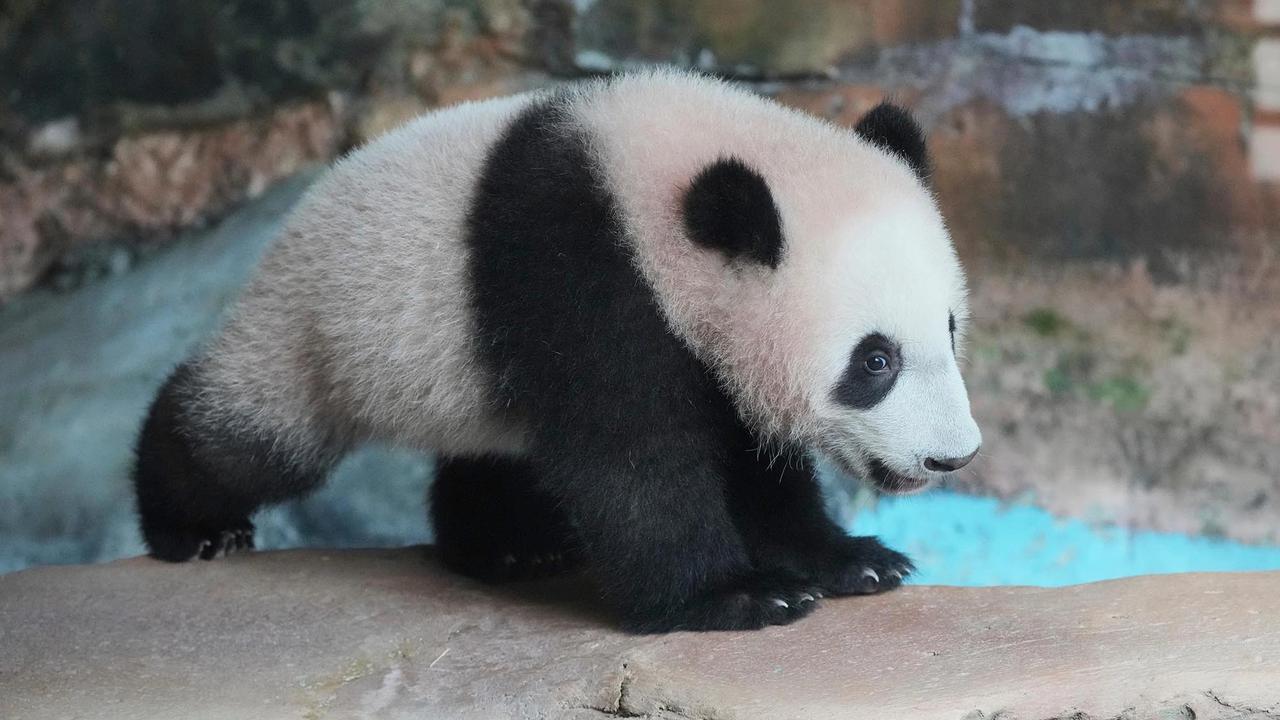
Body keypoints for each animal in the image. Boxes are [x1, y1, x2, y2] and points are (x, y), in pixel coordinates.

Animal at [133, 69, 982, 633]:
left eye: (948, 328)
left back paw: (509, 548)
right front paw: (733, 594)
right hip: (320, 332)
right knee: (255, 437)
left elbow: (750, 459)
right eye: (875, 361)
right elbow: (632, 456)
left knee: (492, 453)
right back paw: (193, 527)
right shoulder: (578, 270)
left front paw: (850, 560)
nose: (952, 457)